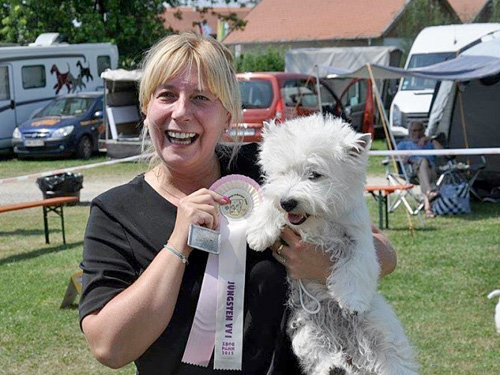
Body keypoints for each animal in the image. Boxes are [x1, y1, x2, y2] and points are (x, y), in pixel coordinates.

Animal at [246, 114, 418, 375]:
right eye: (282, 172)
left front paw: (352, 300)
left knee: (392, 359)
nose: (288, 202)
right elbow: (269, 202)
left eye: (315, 175)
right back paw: (334, 367)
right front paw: (259, 232)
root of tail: (348, 345)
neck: (320, 219)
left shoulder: (360, 238)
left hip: (380, 329)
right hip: (308, 330)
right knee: (321, 355)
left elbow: (356, 265)